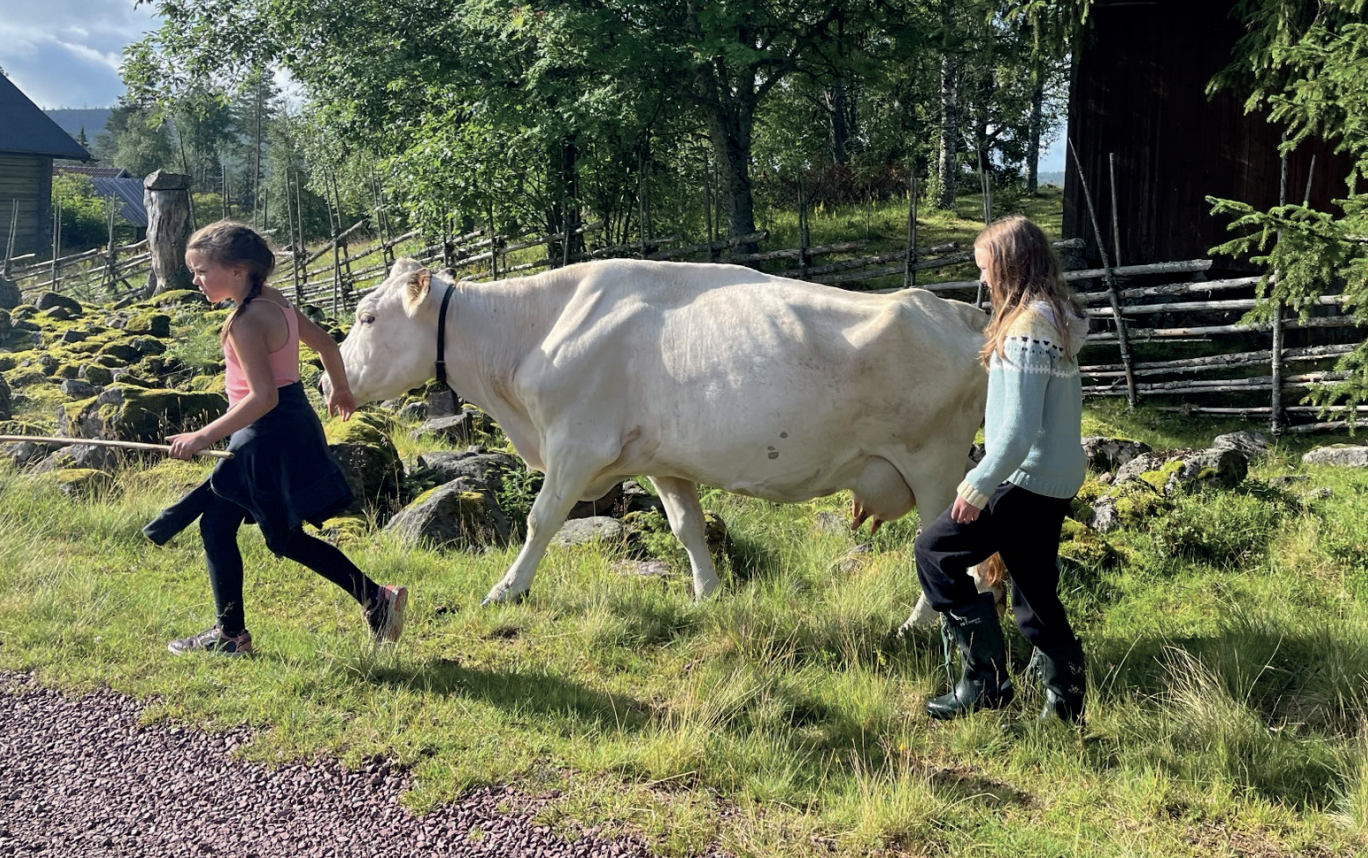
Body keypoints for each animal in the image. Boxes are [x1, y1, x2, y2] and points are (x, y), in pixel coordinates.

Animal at [325, 254, 990, 624]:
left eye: (366, 318)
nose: (328, 379)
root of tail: (959, 311)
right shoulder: (662, 460)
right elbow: (687, 527)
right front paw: (707, 596)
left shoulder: (577, 445)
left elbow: (540, 521)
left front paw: (505, 591)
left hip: (936, 464)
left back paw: (919, 625)